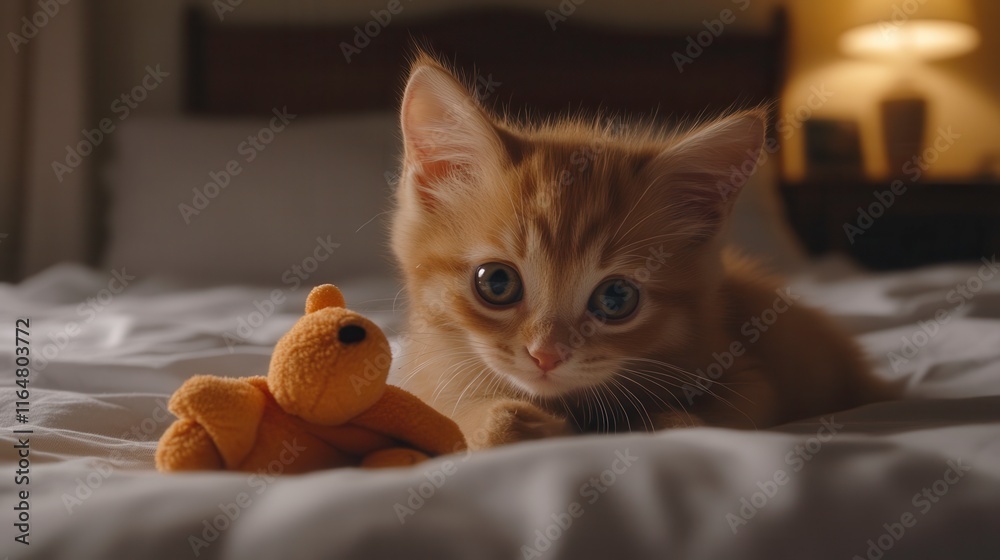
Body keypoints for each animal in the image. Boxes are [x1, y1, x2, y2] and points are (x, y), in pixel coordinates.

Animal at [388, 54, 892, 448]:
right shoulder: (423, 380)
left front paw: (650, 420)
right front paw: (510, 420)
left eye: (616, 298)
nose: (547, 356)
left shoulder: (748, 374)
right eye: (496, 282)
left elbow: (719, 413)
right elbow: (447, 418)